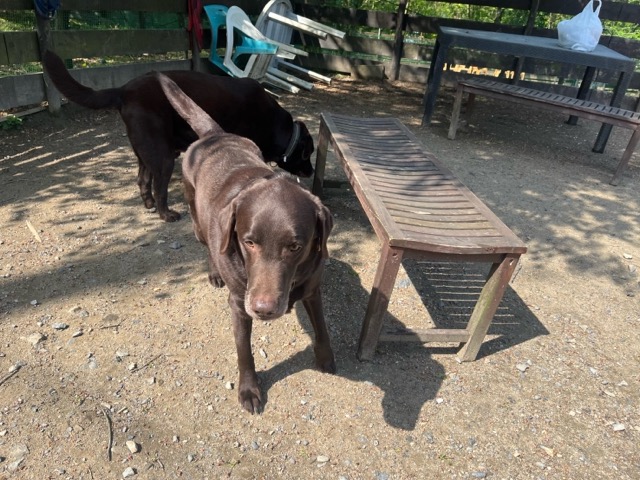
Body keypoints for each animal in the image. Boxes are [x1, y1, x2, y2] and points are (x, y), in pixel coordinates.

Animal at [42, 50, 315, 222]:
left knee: (143, 180)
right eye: (308, 154)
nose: (311, 171)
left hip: (147, 152)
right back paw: (166, 214)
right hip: (163, 156)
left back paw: (150, 205)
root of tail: (124, 90)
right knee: (159, 186)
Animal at [155, 72, 336, 413]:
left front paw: (326, 357)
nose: (264, 309)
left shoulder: (313, 287)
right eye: (249, 242)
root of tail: (215, 135)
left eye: (296, 246)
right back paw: (214, 272)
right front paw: (249, 390)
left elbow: (321, 326)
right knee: (208, 245)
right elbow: (244, 351)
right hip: (199, 220)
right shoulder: (240, 304)